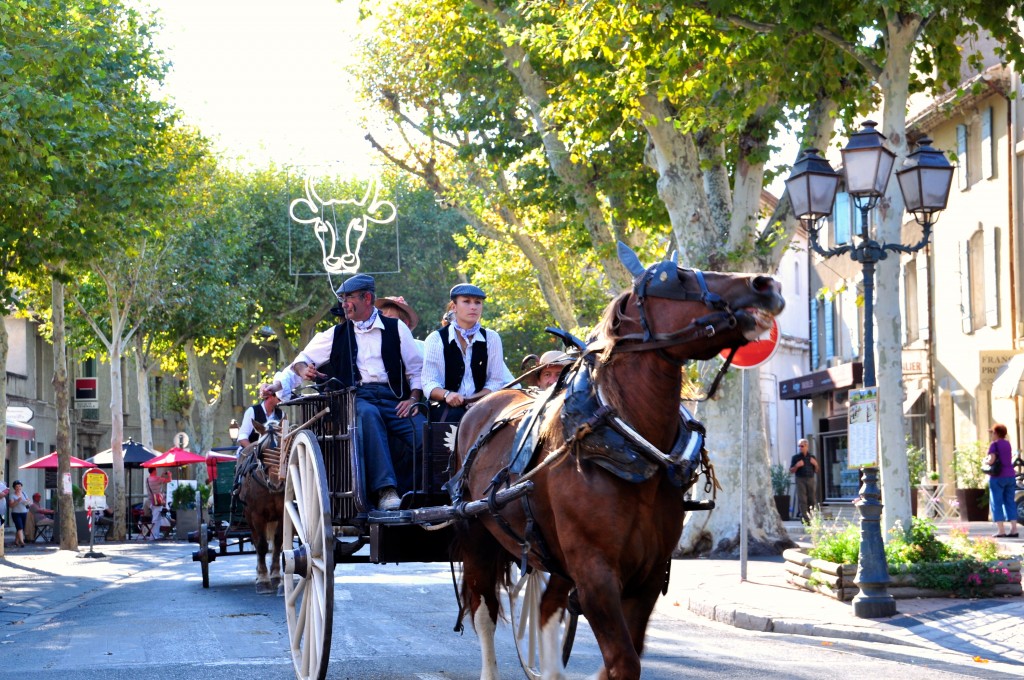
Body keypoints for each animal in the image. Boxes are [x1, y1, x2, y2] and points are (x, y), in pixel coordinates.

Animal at [236, 428, 286, 593]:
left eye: (283, 448)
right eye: (262, 452)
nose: (276, 484)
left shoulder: (282, 515)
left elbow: (278, 542)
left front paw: (276, 576)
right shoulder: (257, 515)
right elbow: (262, 545)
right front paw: (264, 579)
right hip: (249, 517)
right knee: (257, 541)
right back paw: (259, 573)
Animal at [454, 246, 782, 675]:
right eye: (675, 278)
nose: (765, 284)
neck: (617, 446)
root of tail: (481, 406)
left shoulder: (649, 574)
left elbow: (625, 655)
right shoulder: (596, 575)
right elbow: (623, 661)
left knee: (544, 609)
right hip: (478, 536)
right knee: (484, 613)